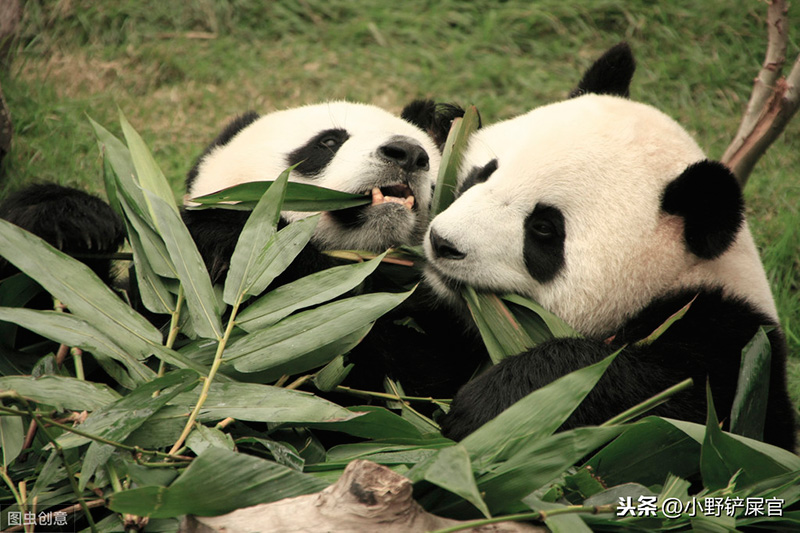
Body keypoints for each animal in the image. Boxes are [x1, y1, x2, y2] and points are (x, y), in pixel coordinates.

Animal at [422, 43, 796, 448]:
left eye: (544, 228)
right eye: (484, 173)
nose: (443, 242)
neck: (680, 278)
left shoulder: (733, 347)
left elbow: (663, 393)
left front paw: (494, 405)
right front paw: (434, 121)